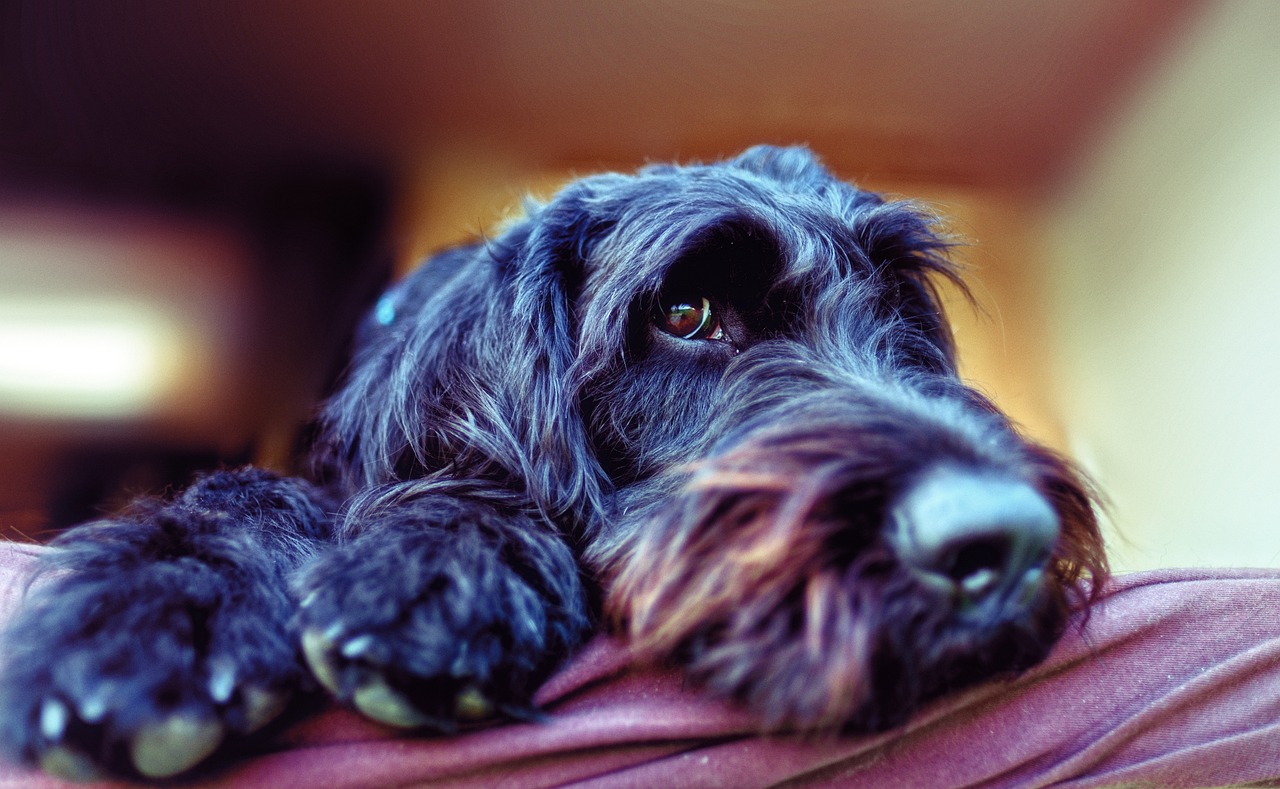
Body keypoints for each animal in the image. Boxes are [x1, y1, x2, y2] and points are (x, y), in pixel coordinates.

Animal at [0, 144, 1105, 778]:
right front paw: (158, 614)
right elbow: (253, 493)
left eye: (900, 313)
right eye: (685, 310)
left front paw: (443, 567)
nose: (1002, 538)